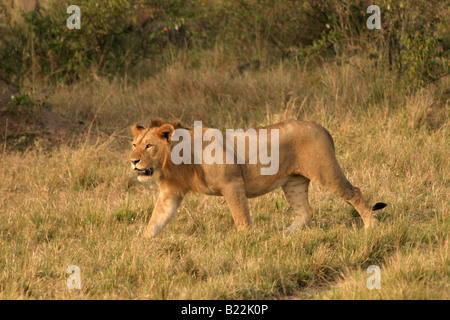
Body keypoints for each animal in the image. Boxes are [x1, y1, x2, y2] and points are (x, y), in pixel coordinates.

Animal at [130, 118, 386, 238]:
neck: (177, 161)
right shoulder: (170, 193)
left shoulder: (232, 183)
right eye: (134, 145)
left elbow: (241, 218)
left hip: (325, 171)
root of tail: (322, 128)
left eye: (149, 146)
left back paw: (371, 226)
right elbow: (156, 221)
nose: (133, 161)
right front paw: (142, 244)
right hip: (293, 182)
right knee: (305, 211)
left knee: (354, 192)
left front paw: (245, 242)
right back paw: (285, 235)